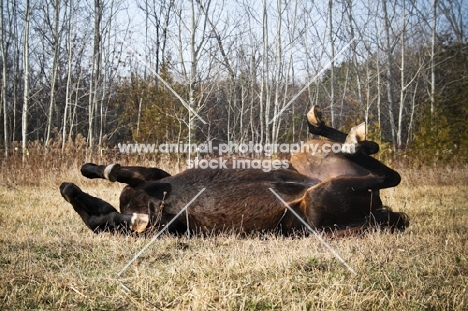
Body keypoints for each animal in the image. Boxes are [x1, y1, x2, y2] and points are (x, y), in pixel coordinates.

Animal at [60, 107, 408, 236]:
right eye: (91, 213)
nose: (67, 189)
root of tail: (379, 208)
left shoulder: (154, 176)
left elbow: (119, 172)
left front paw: (96, 169)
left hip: (310, 159)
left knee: (380, 165)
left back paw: (339, 132)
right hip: (319, 201)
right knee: (387, 177)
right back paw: (341, 135)